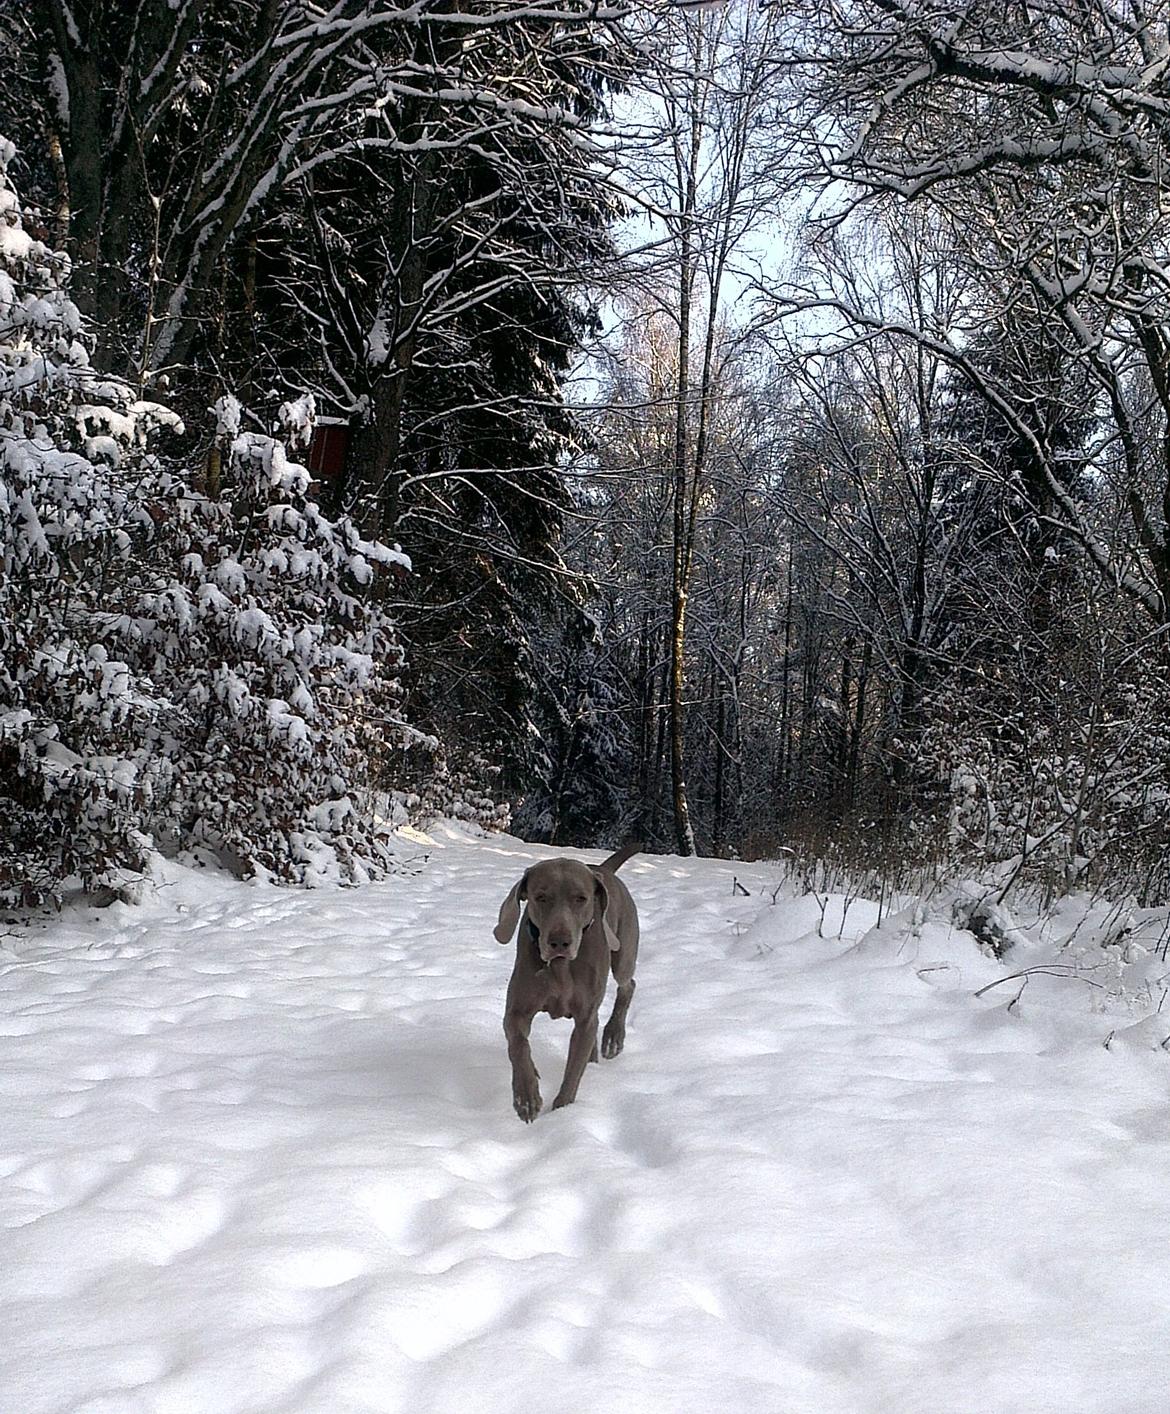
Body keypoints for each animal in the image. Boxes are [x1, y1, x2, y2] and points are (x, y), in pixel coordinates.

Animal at [495, 842, 639, 1119]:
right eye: (541, 897)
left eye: (580, 898)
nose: (559, 942)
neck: (560, 967)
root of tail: (604, 869)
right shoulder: (517, 1012)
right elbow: (518, 1046)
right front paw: (526, 1096)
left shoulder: (584, 1019)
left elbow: (573, 1073)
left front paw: (561, 1111)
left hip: (623, 953)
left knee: (628, 985)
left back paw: (613, 1037)